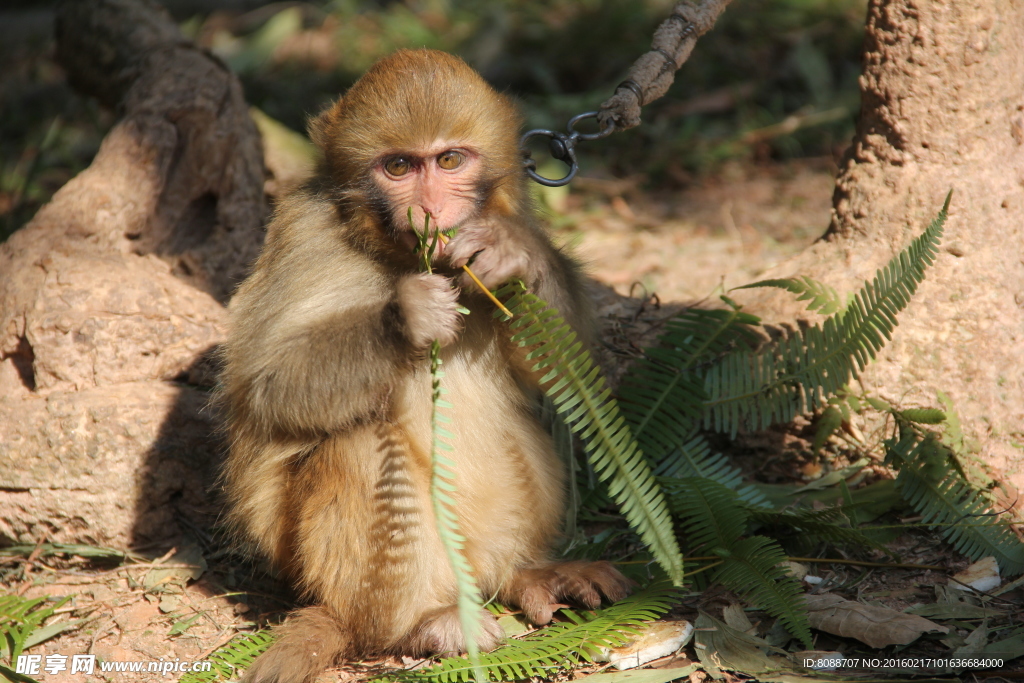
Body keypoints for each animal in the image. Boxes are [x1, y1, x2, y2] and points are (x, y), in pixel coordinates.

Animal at [220, 49, 626, 683]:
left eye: (450, 160)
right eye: (399, 166)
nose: (431, 209)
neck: (397, 254)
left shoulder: (513, 209)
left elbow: (571, 379)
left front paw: (513, 257)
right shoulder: (305, 236)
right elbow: (270, 386)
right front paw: (408, 317)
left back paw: (524, 573)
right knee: (360, 446)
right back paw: (422, 622)